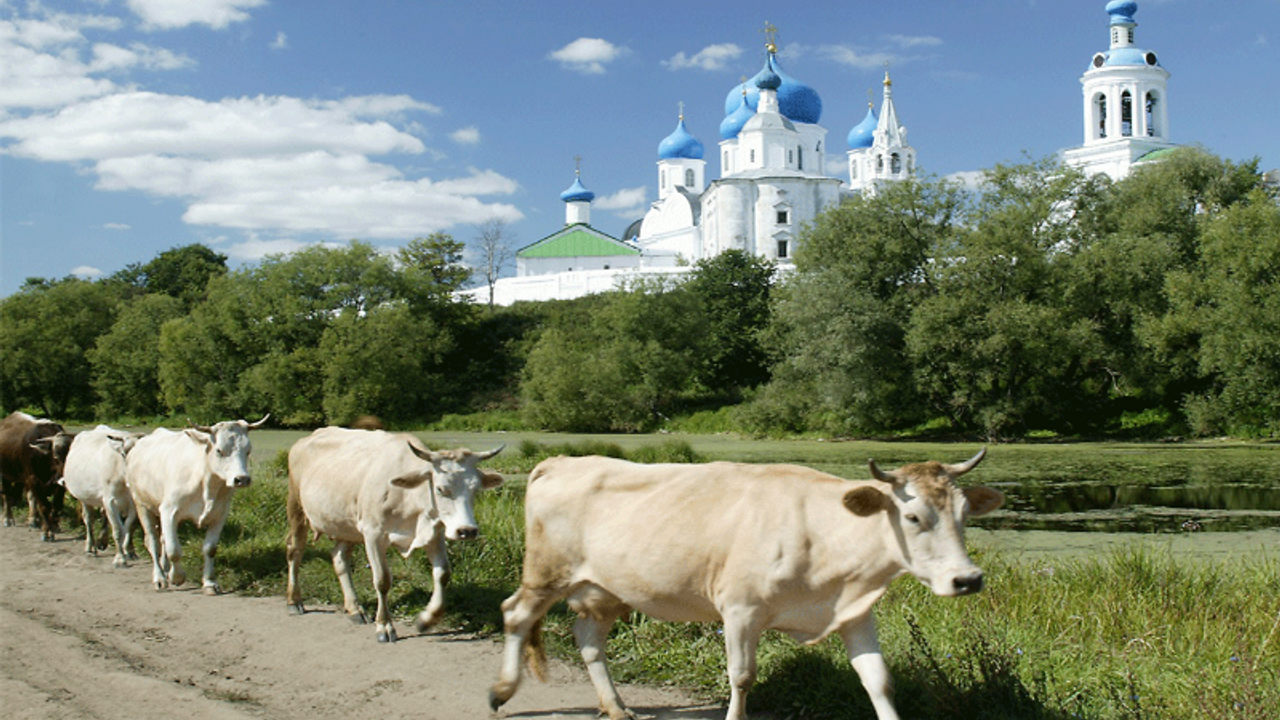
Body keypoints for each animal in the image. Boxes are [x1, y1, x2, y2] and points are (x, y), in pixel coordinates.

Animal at [0, 409, 72, 538]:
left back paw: (34, 520)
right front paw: (47, 531)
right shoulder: (33, 480)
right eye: (56, 456)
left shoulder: (58, 484)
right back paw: (8, 519)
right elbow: (44, 506)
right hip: (5, 475)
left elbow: (56, 505)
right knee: (7, 495)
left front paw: (54, 525)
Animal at [58, 422, 144, 563]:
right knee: (88, 520)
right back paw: (89, 548)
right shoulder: (110, 501)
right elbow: (118, 530)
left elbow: (128, 527)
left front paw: (128, 551)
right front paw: (120, 558)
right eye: (124, 454)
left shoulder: (133, 503)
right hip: (84, 498)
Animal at [126, 417, 266, 591]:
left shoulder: (220, 515)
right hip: (142, 505)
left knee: (163, 539)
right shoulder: (169, 511)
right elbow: (174, 550)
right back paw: (159, 578)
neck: (207, 484)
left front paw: (210, 582)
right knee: (152, 541)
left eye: (248, 451)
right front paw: (177, 577)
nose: (242, 479)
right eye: (219, 450)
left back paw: (165, 569)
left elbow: (210, 549)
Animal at [285, 425, 504, 638]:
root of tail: (307, 438)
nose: (467, 530)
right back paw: (294, 600)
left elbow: (443, 573)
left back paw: (355, 608)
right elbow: (382, 580)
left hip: (346, 524)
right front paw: (384, 625)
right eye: (441, 489)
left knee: (339, 558)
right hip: (297, 508)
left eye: (475, 490)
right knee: (295, 550)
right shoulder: (373, 534)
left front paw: (427, 619)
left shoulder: (434, 533)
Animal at [486, 448, 998, 717]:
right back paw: (501, 691)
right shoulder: (740, 609)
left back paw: (615, 707)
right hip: (545, 574)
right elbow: (743, 676)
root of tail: (560, 460)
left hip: (607, 589)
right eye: (913, 517)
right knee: (515, 614)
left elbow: (879, 681)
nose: (968, 579)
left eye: (964, 514)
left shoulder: (854, 612)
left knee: (589, 640)